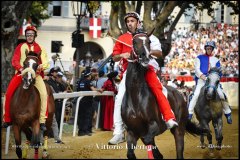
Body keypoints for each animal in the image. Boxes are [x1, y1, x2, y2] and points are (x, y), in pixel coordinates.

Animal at [121, 29, 207, 159]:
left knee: (179, 151)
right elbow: (131, 153)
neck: (136, 97)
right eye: (134, 42)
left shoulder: (155, 126)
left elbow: (149, 140)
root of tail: (179, 94)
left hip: (178, 129)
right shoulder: (132, 131)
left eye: (149, 41)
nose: (145, 57)